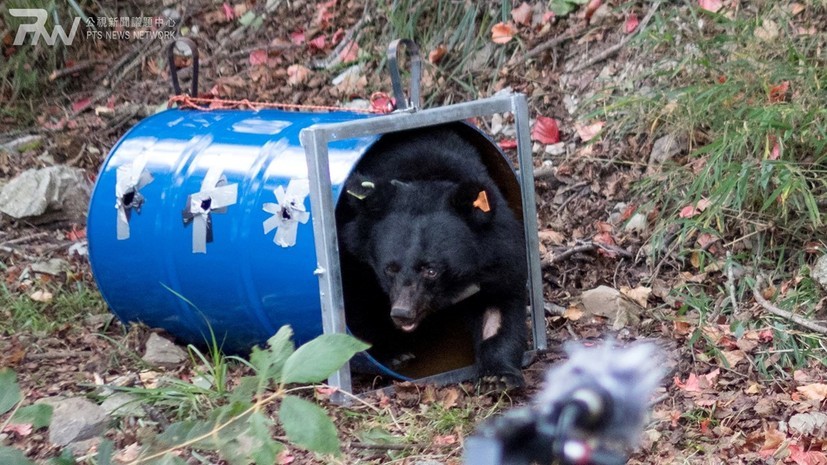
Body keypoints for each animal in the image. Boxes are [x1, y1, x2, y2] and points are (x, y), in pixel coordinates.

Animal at [338, 123, 528, 388]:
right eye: (389, 269)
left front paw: (499, 377)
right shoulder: (355, 251)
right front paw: (393, 353)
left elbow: (498, 306)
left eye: (431, 270)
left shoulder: (497, 253)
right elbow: (355, 302)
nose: (402, 313)